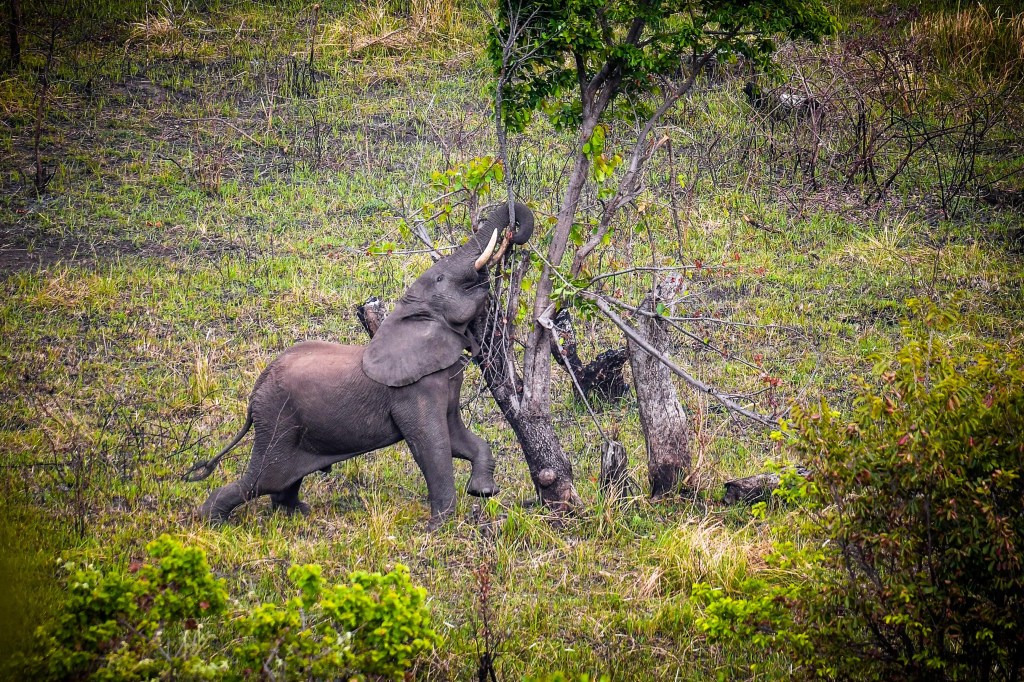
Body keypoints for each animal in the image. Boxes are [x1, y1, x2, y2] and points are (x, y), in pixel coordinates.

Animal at [186, 202, 534, 529]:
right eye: (439, 278)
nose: (512, 232)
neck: (407, 315)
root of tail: (256, 389)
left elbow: (458, 437)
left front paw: (482, 491)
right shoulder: (413, 391)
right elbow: (432, 444)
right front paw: (440, 527)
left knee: (283, 480)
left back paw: (297, 512)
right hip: (277, 420)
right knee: (264, 478)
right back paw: (212, 520)